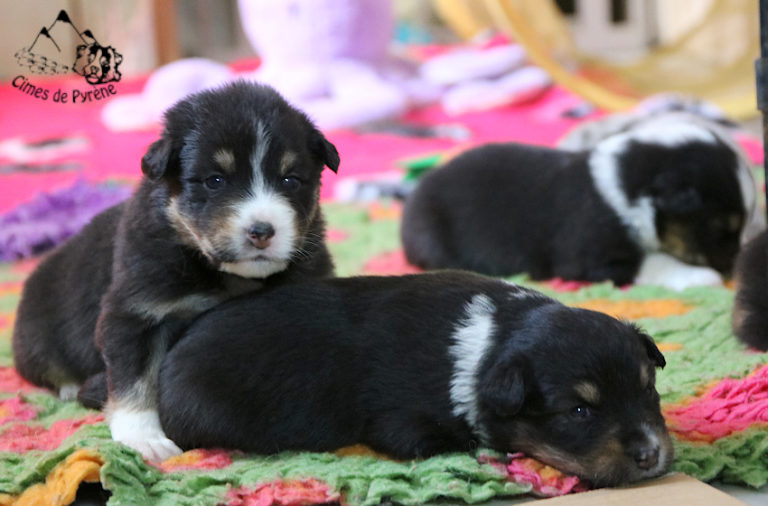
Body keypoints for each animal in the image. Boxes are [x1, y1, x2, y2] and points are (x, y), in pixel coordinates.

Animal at [12, 81, 339, 461]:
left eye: (290, 180)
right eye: (215, 180)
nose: (262, 231)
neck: (227, 277)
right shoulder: (134, 313)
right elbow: (134, 380)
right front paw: (145, 441)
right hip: (37, 334)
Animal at [401, 114, 759, 290]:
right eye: (721, 230)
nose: (734, 265)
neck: (625, 186)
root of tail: (415, 193)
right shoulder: (592, 255)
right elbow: (653, 261)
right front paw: (699, 277)